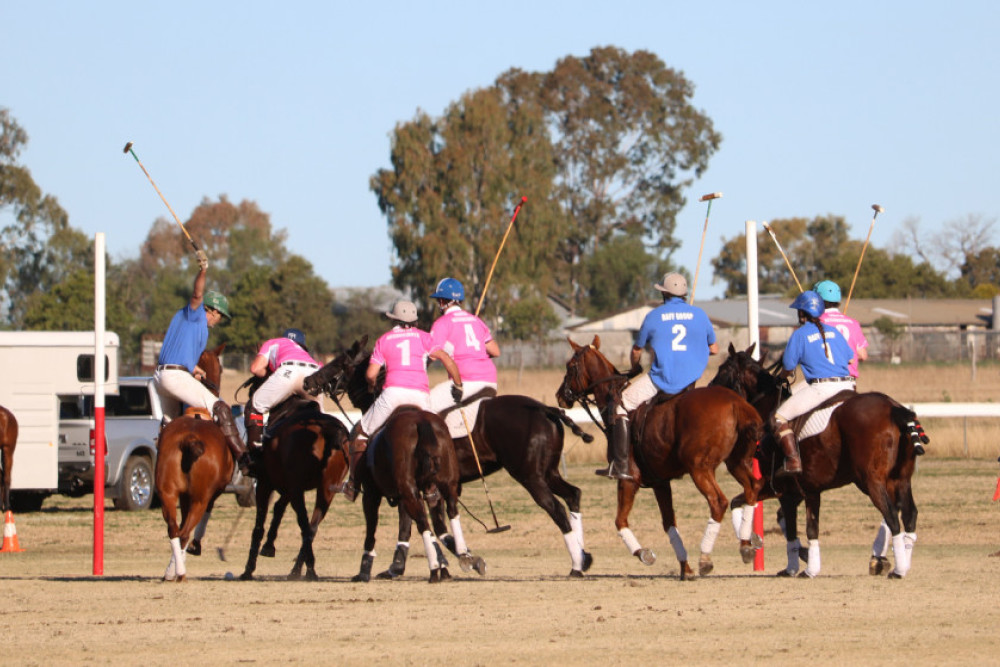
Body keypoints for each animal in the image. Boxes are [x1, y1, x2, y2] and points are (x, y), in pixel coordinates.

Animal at [155, 344, 229, 580]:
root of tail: (189, 439)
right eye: (221, 367)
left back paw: (173, 571)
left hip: (167, 493)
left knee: (173, 529)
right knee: (185, 532)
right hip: (200, 497)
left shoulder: (183, 496)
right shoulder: (211, 495)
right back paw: (179, 572)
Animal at [556, 336, 764, 576]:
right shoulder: (660, 482)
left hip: (699, 468)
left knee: (718, 502)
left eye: (570, 366)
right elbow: (669, 523)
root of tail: (737, 403)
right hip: (736, 462)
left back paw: (706, 558)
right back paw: (746, 545)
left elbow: (620, 520)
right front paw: (685, 568)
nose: (560, 396)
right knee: (752, 488)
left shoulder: (628, 479)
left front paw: (643, 553)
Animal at [712, 344, 920, 580]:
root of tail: (897, 410)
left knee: (892, 515)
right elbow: (753, 508)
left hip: (871, 481)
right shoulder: (794, 491)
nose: (708, 390)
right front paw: (792, 562)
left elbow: (803, 527)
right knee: (910, 515)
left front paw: (802, 567)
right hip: (900, 479)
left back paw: (897, 569)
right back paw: (898, 563)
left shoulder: (782, 489)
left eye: (723, 370)